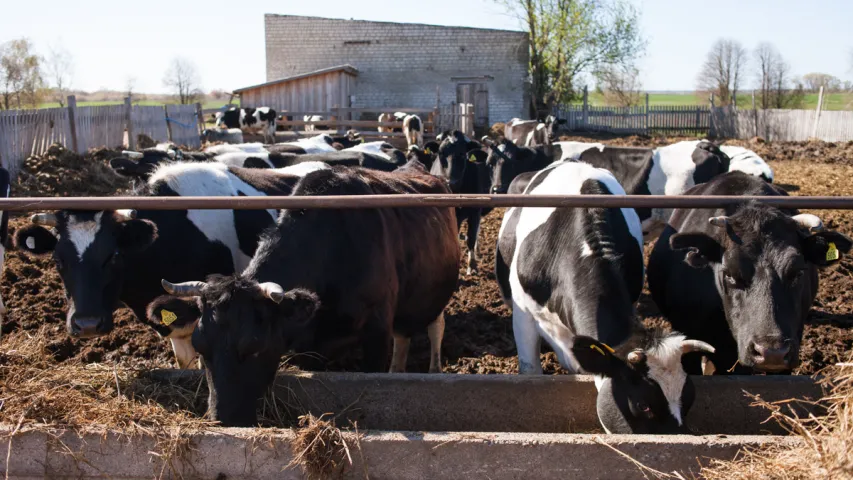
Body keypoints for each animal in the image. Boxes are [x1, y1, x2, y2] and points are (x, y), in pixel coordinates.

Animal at [153, 164, 460, 424]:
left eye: (254, 346)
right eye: (200, 345)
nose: (223, 419)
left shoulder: (377, 330)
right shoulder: (307, 344)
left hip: (435, 298)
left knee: (435, 327)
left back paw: (434, 369)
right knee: (404, 337)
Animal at [430, 130, 490, 274]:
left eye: (463, 154)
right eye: (441, 153)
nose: (451, 182)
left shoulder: (475, 211)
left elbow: (471, 237)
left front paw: (472, 265)